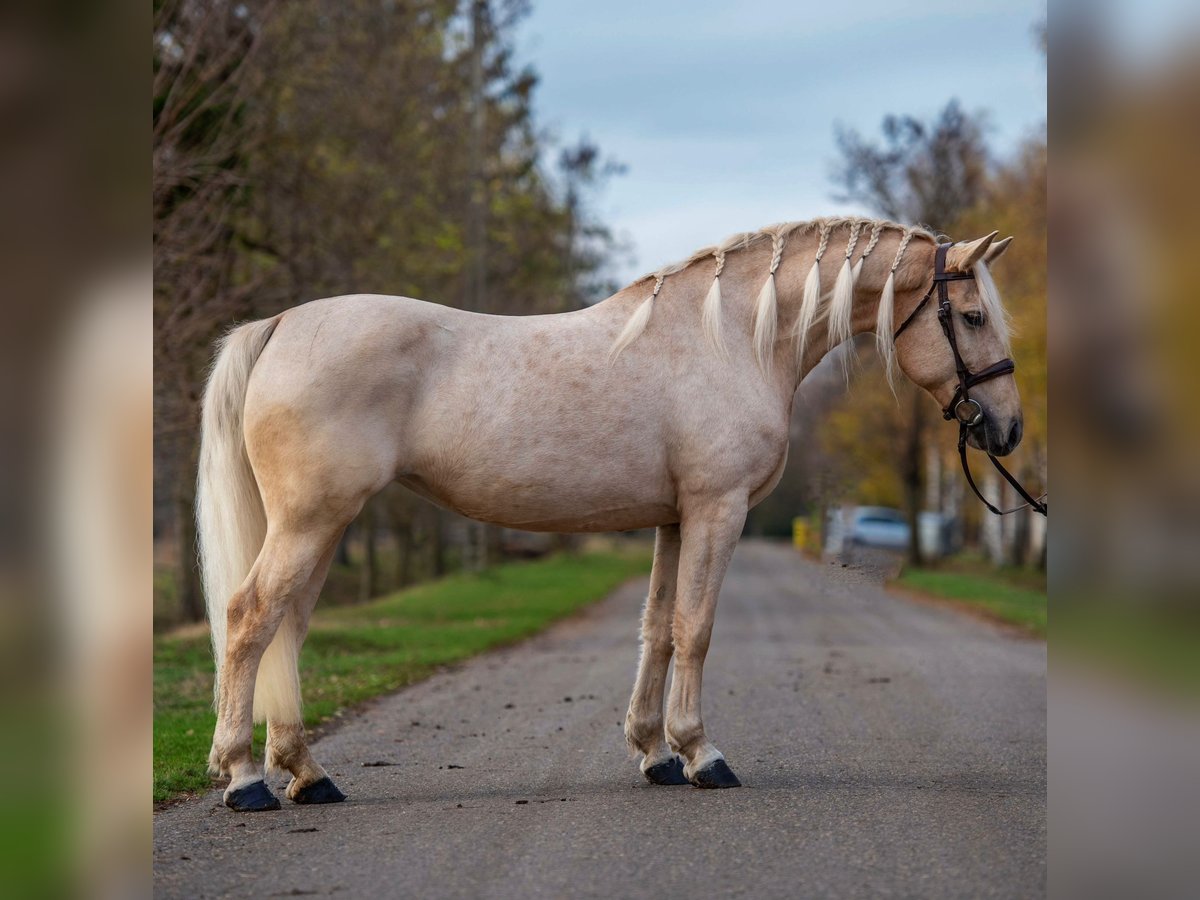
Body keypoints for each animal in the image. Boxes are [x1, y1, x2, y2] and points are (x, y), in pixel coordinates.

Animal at [197, 217, 1022, 811]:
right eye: (972, 315)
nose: (1007, 429)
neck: (730, 338)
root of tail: (279, 325)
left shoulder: (674, 518)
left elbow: (656, 629)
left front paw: (655, 753)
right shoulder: (716, 510)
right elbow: (695, 629)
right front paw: (702, 755)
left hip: (322, 524)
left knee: (288, 628)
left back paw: (307, 774)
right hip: (311, 520)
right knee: (250, 618)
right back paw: (245, 781)